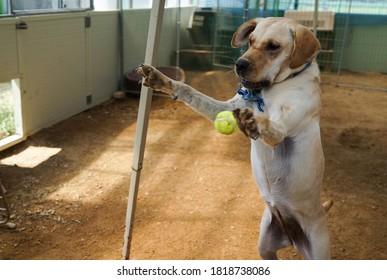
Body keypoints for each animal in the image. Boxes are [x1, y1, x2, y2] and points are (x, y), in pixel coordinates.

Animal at [139, 16, 334, 260]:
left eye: (273, 47)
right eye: (250, 41)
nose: (239, 64)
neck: (273, 89)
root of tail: (292, 237)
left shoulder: (282, 127)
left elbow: (270, 125)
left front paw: (254, 122)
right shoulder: (224, 108)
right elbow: (189, 91)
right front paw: (163, 81)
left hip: (319, 253)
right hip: (265, 246)